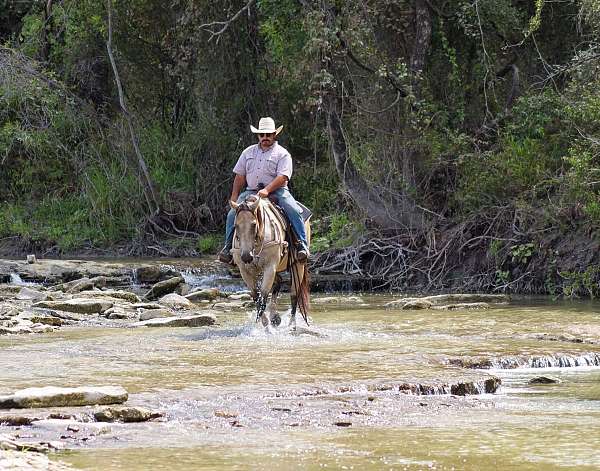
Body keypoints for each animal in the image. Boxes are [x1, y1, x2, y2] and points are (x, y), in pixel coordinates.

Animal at [231, 194, 312, 330]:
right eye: (236, 225)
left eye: (254, 224)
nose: (247, 257)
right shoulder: (245, 271)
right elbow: (256, 296)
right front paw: (266, 322)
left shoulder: (270, 267)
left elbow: (263, 296)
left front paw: (266, 325)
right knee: (279, 281)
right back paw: (275, 317)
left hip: (297, 265)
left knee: (294, 295)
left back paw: (291, 325)